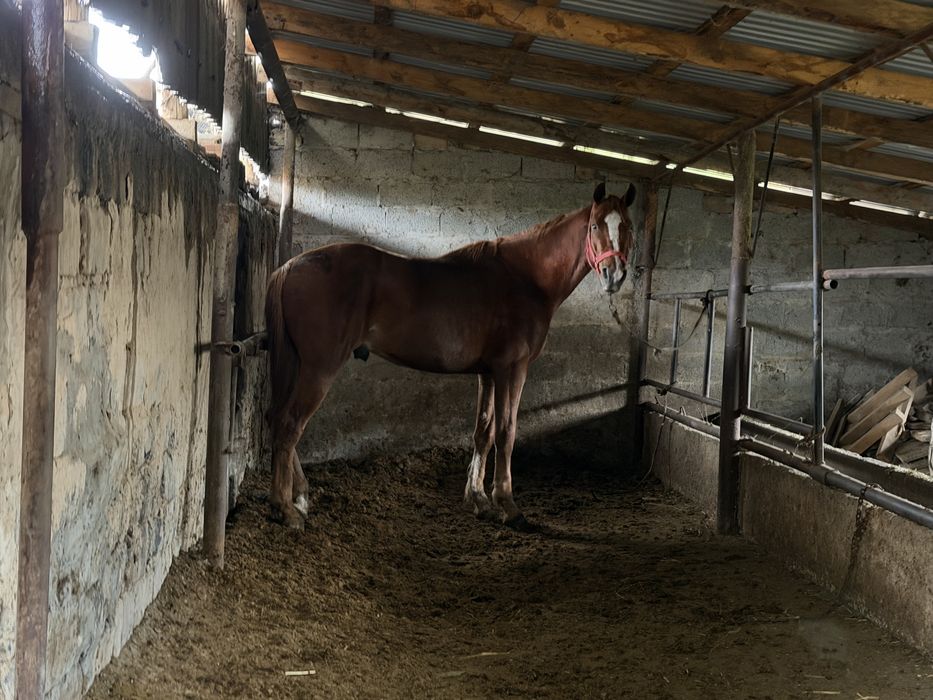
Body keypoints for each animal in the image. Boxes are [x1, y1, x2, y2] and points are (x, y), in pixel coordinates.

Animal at [264, 182, 637, 530]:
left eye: (628, 227)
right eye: (595, 225)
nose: (614, 275)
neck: (526, 278)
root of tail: (290, 266)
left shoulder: (488, 372)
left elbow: (483, 431)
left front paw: (479, 499)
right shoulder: (512, 370)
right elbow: (506, 431)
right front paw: (507, 504)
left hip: (300, 365)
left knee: (279, 420)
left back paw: (299, 497)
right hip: (319, 368)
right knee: (290, 424)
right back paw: (286, 508)